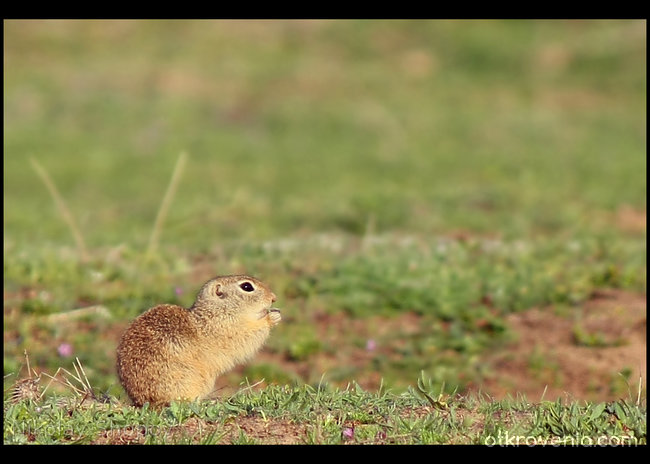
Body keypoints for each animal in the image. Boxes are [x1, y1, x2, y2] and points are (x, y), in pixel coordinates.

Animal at [117, 276, 280, 406]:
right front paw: (271, 318)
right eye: (247, 287)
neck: (217, 311)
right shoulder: (228, 329)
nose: (274, 298)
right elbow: (248, 335)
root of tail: (142, 401)